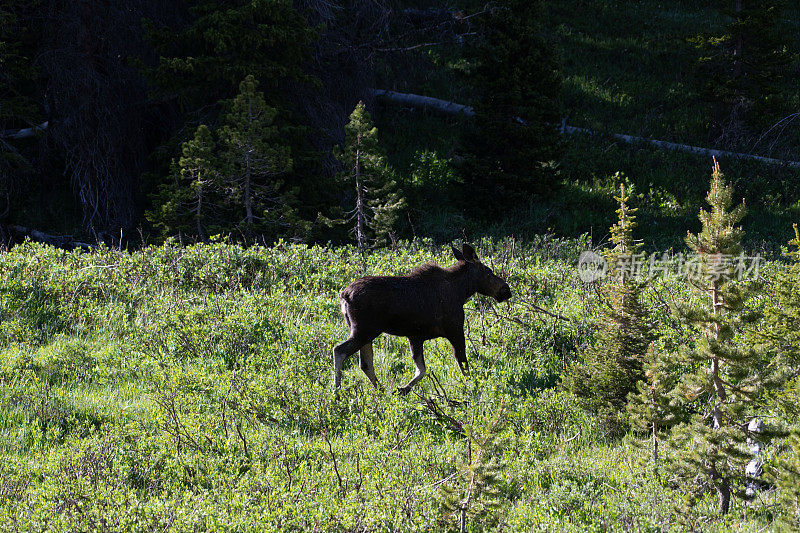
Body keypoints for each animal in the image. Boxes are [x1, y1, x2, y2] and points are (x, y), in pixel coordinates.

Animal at [332, 243, 512, 392]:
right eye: (488, 271)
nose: (506, 290)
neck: (462, 291)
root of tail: (343, 295)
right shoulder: (455, 330)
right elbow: (463, 365)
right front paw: (473, 387)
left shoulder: (415, 336)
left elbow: (421, 370)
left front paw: (403, 389)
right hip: (364, 330)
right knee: (339, 350)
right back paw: (337, 391)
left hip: (366, 332)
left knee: (365, 363)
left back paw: (381, 390)